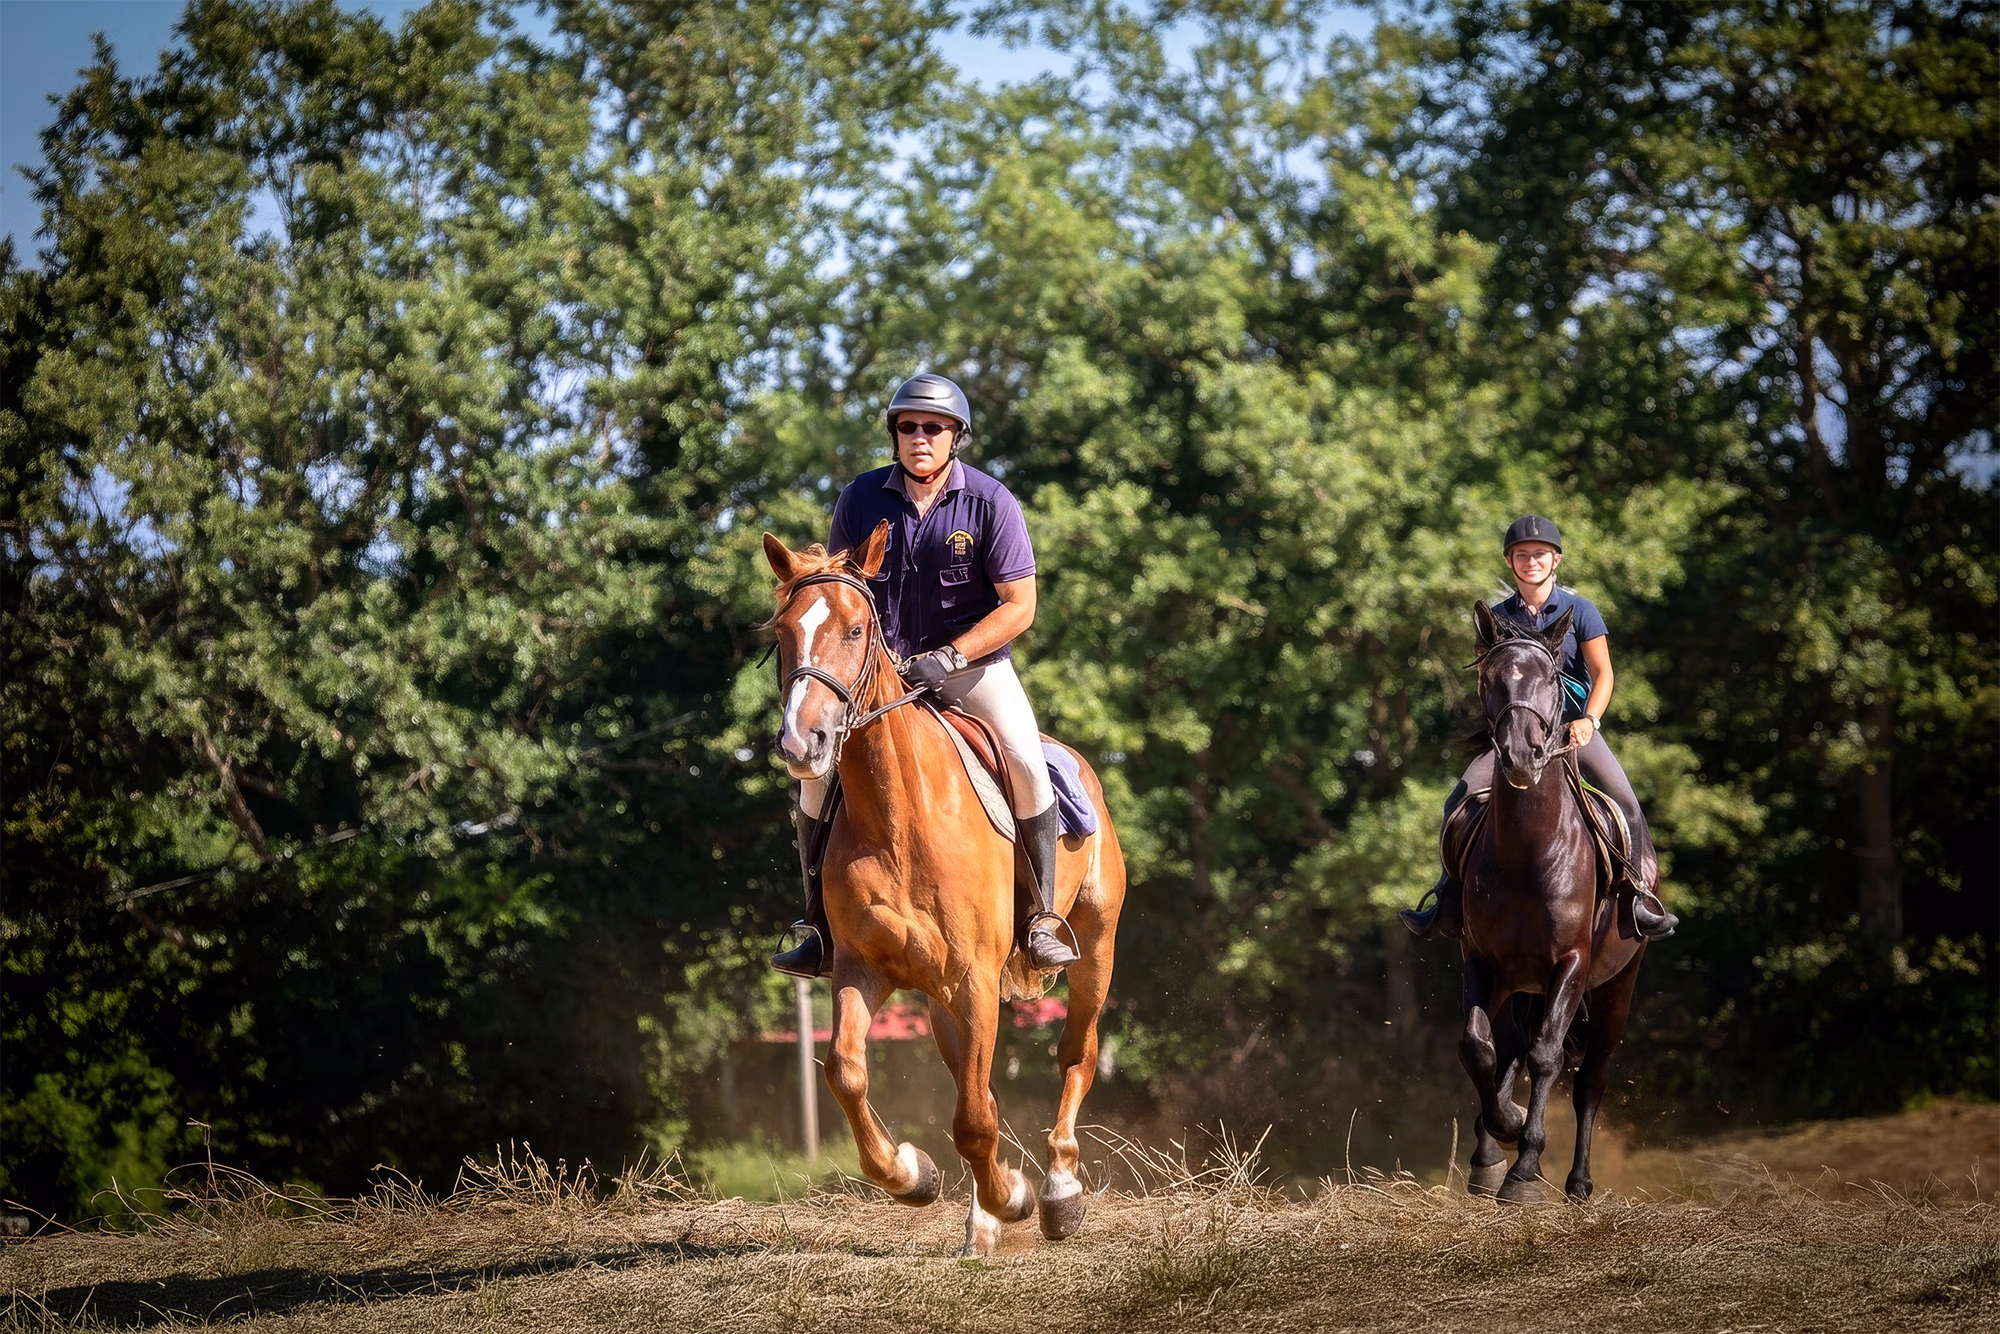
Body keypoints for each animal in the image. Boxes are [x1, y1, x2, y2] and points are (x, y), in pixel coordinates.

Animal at [762, 522, 1127, 1255]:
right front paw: (912, 1175)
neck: (900, 814)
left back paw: (1057, 1192)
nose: (802, 742)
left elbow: (975, 1117)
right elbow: (847, 1073)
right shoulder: (862, 968)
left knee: (1075, 1055)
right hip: (937, 996)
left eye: (855, 629)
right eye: (783, 631)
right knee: (973, 1084)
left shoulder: (975, 977)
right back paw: (984, 1217)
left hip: (1093, 948)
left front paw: (1014, 1195)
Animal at [1454, 599, 1646, 1203]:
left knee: (1588, 1079)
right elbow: (1478, 1047)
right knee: (1511, 1047)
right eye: (1491, 680)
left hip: (1613, 990)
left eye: (1550, 681)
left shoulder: (1572, 963)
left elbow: (1546, 1056)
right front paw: (1505, 1135)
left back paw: (1577, 1181)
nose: (1520, 756)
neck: (1528, 852)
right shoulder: (1483, 962)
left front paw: (1524, 1168)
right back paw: (1489, 1151)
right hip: (1523, 986)